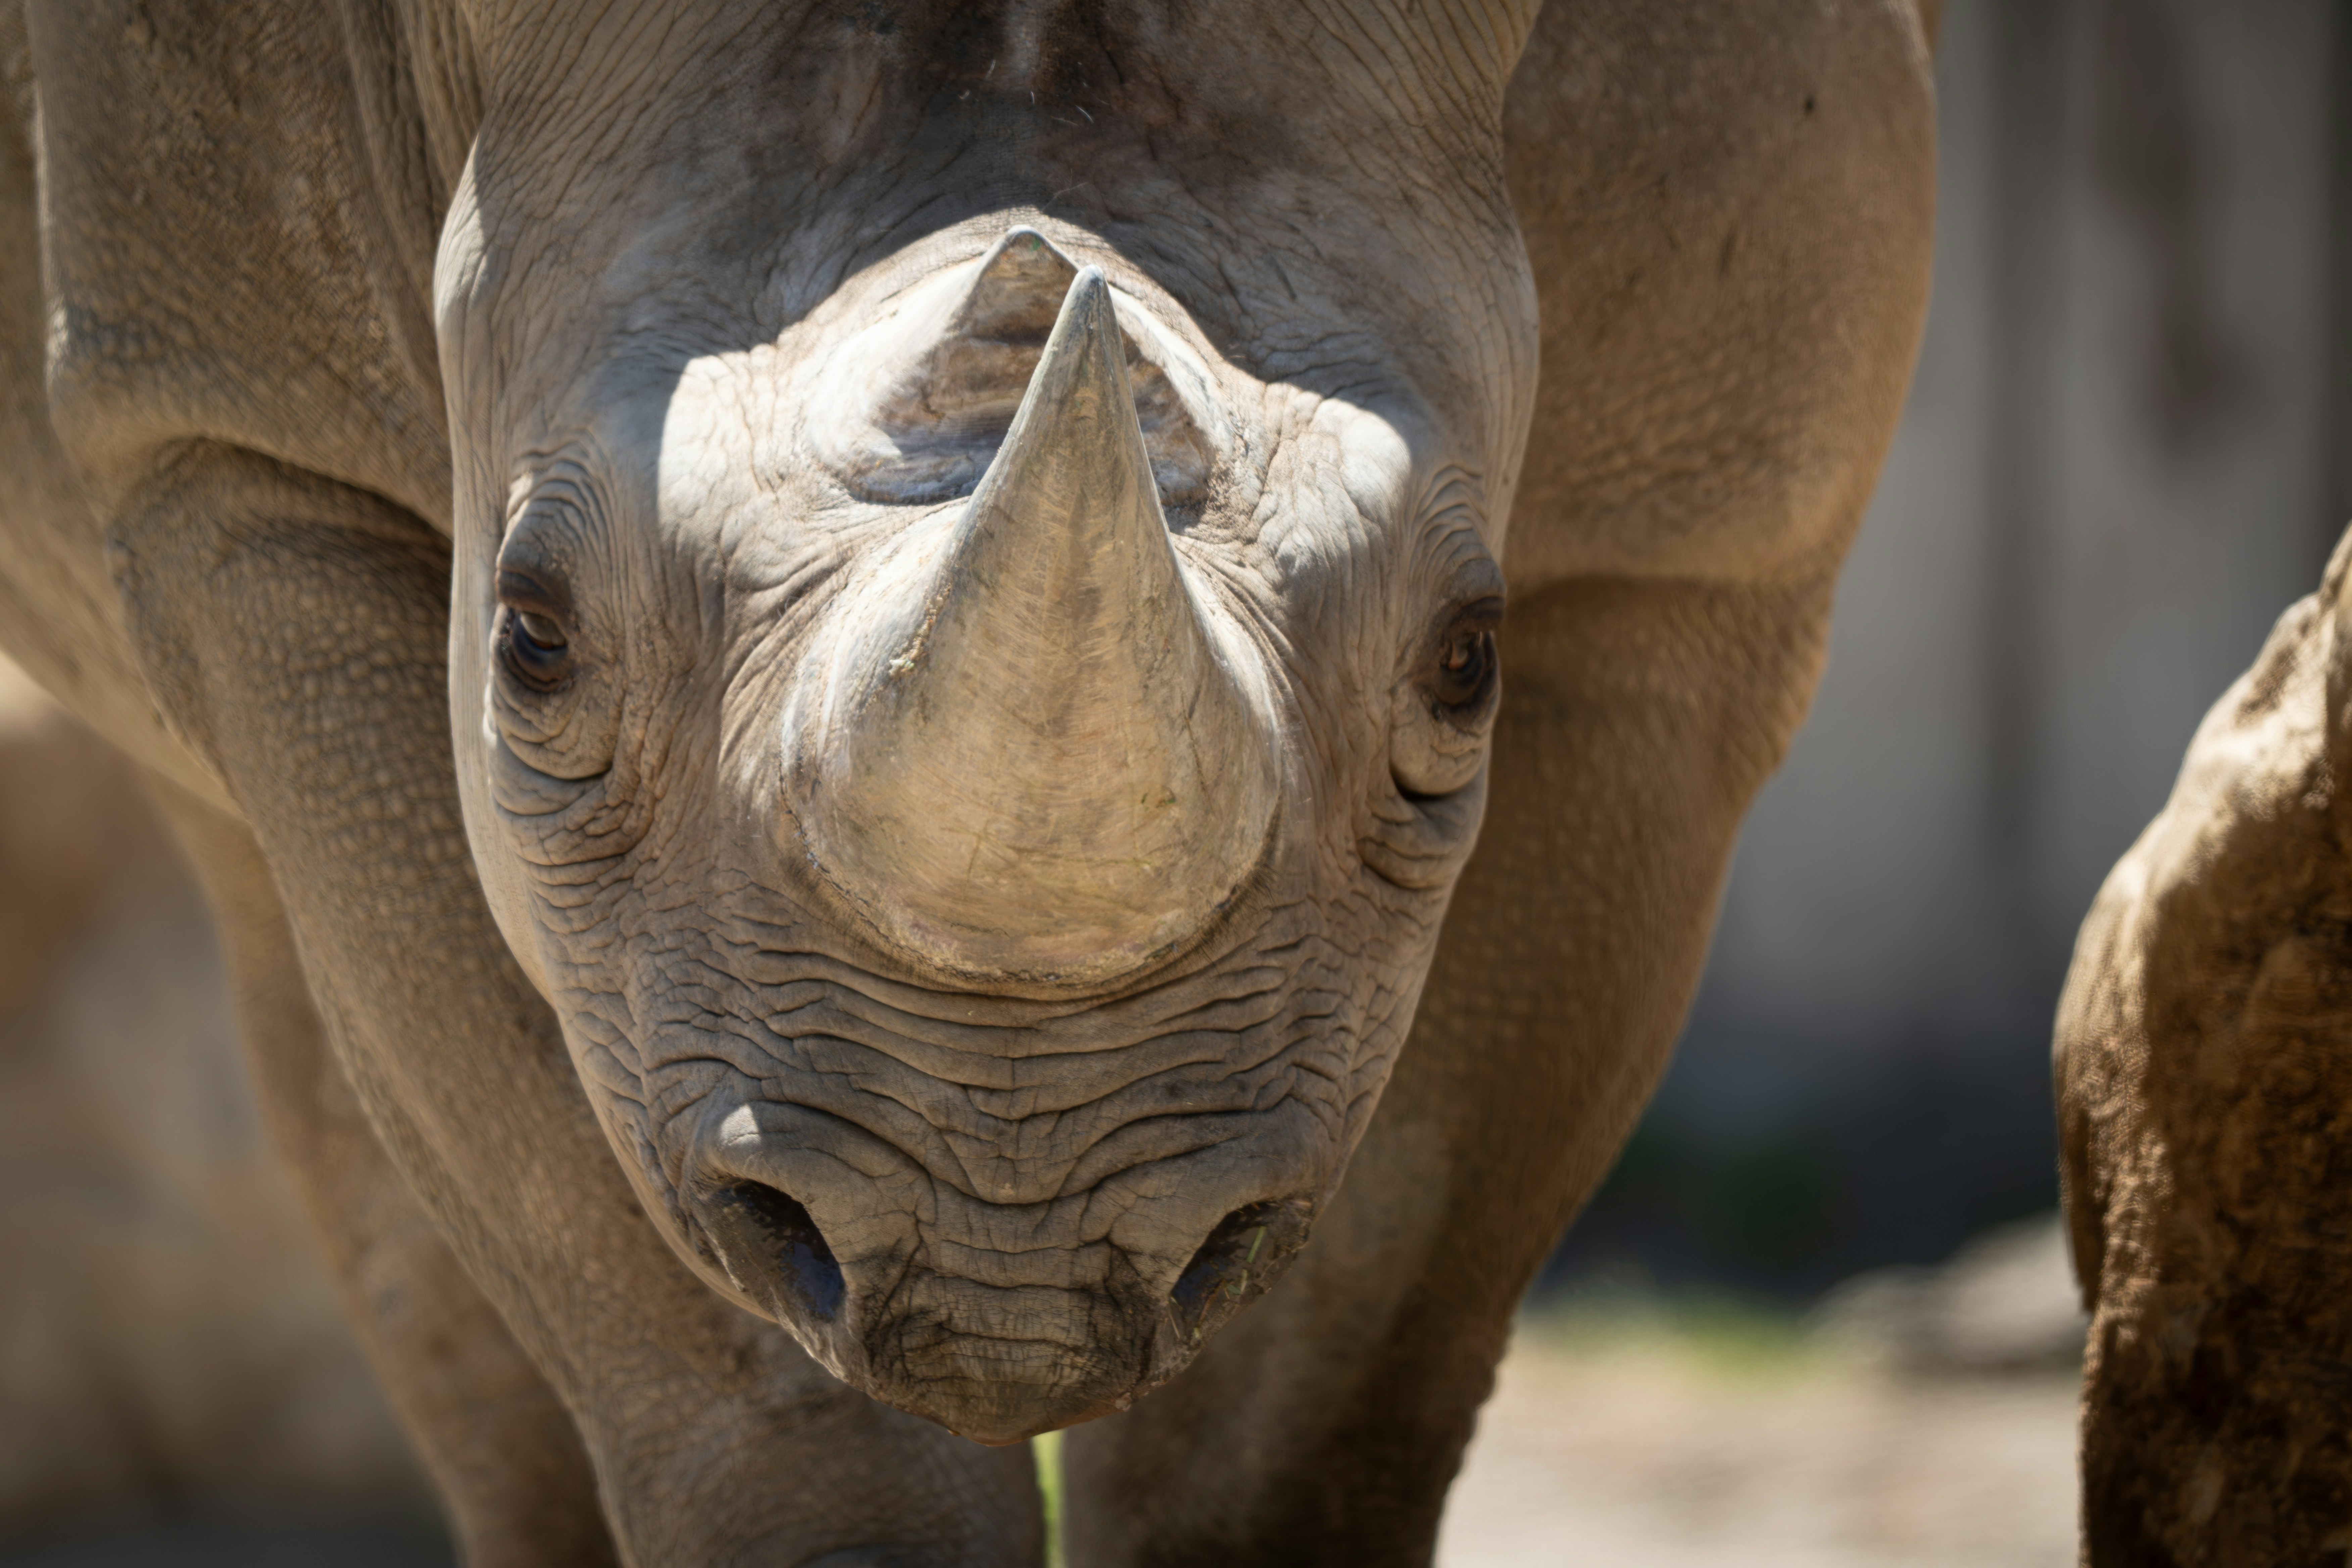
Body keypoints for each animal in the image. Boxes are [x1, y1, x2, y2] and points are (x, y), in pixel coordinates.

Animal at [0, 1, 1935, 1561]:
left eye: (1469, 663)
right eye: (530, 642)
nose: (1010, 1280)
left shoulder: (1693, 551)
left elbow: (1344, 1356)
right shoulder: (237, 442)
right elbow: (664, 1284)